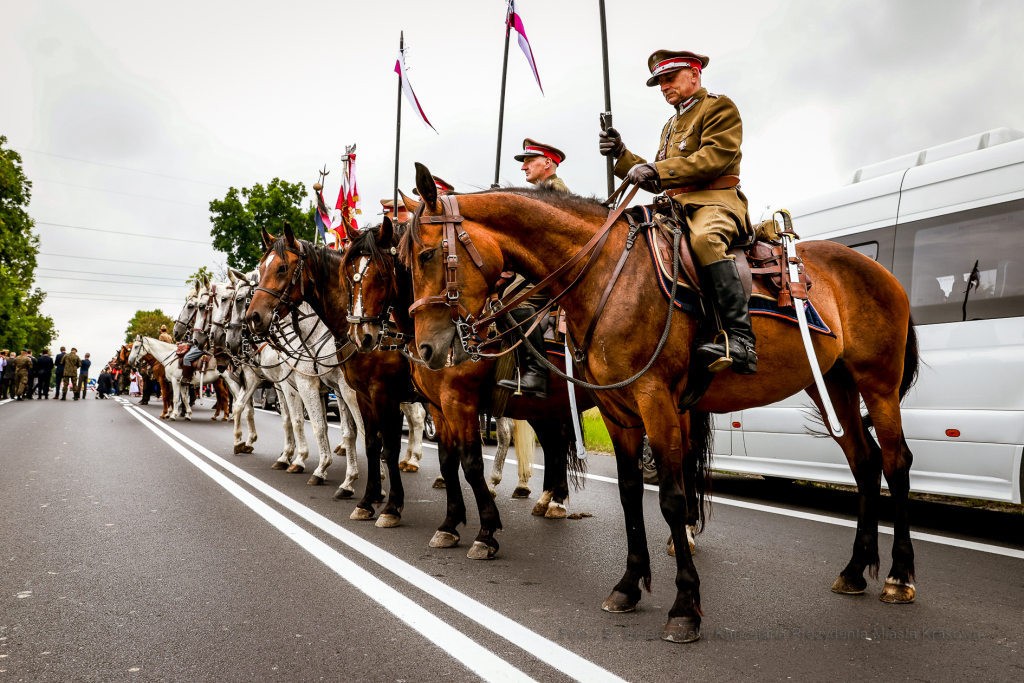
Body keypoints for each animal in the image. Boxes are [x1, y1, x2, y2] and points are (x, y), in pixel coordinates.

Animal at [399, 162, 921, 643]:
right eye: (405, 262)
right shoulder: (619, 413)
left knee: (895, 462)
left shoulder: (654, 402)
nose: (429, 349)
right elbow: (630, 494)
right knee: (865, 463)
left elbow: (670, 497)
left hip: (877, 385)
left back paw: (898, 575)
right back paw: (855, 570)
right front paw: (628, 586)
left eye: (425, 254)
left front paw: (685, 606)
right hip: (831, 383)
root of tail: (880, 272)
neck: (607, 274)